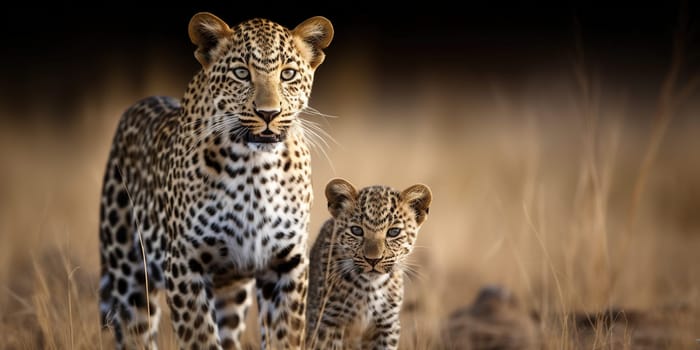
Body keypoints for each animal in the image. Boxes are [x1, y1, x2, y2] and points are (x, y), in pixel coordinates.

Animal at [98, 11, 334, 350]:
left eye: (288, 74)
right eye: (241, 73)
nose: (268, 113)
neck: (255, 169)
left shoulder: (286, 265)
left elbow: (284, 336)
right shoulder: (184, 266)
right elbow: (200, 337)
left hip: (232, 292)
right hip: (128, 274)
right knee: (135, 332)